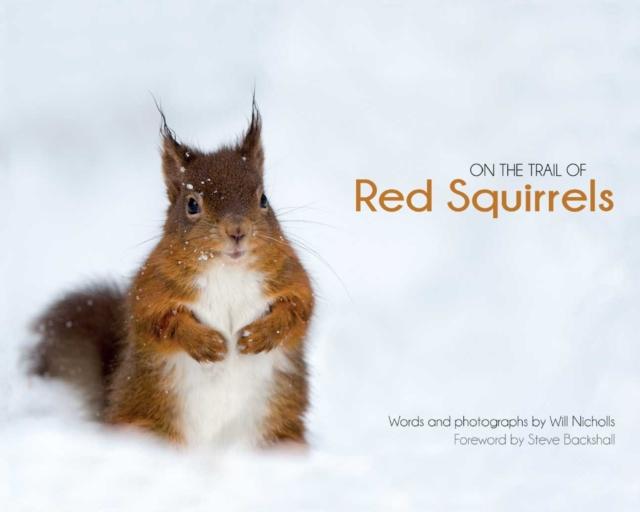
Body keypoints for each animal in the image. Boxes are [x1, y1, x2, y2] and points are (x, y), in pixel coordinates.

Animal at [30, 103, 314, 447]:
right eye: (192, 204)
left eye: (263, 199)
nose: (237, 231)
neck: (228, 271)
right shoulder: (151, 288)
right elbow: (160, 321)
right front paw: (207, 344)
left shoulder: (290, 276)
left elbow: (299, 309)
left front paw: (258, 336)